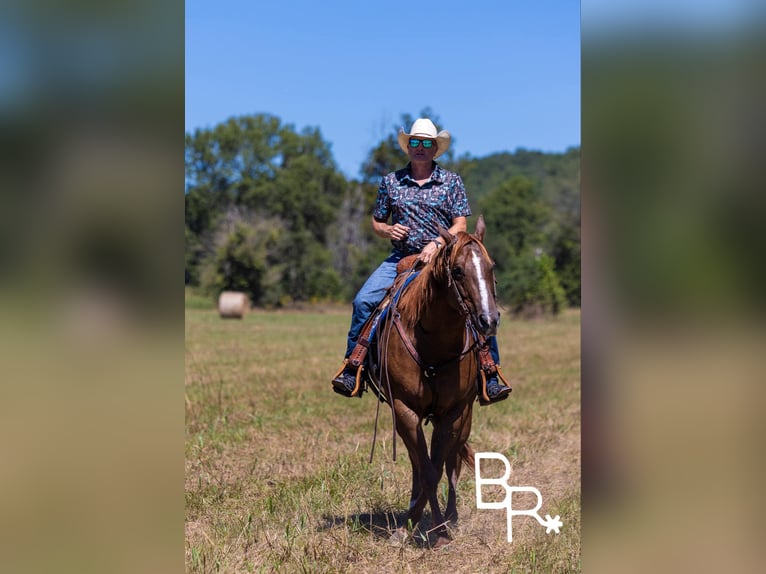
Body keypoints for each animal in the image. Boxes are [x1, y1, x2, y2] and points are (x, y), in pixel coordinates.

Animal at [368, 215, 500, 548]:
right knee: (421, 463)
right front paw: (410, 525)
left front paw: (439, 528)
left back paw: (450, 516)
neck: (434, 343)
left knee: (452, 462)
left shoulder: (453, 412)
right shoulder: (404, 409)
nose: (489, 320)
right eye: (457, 270)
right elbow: (425, 469)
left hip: (465, 416)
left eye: (491, 267)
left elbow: (439, 467)